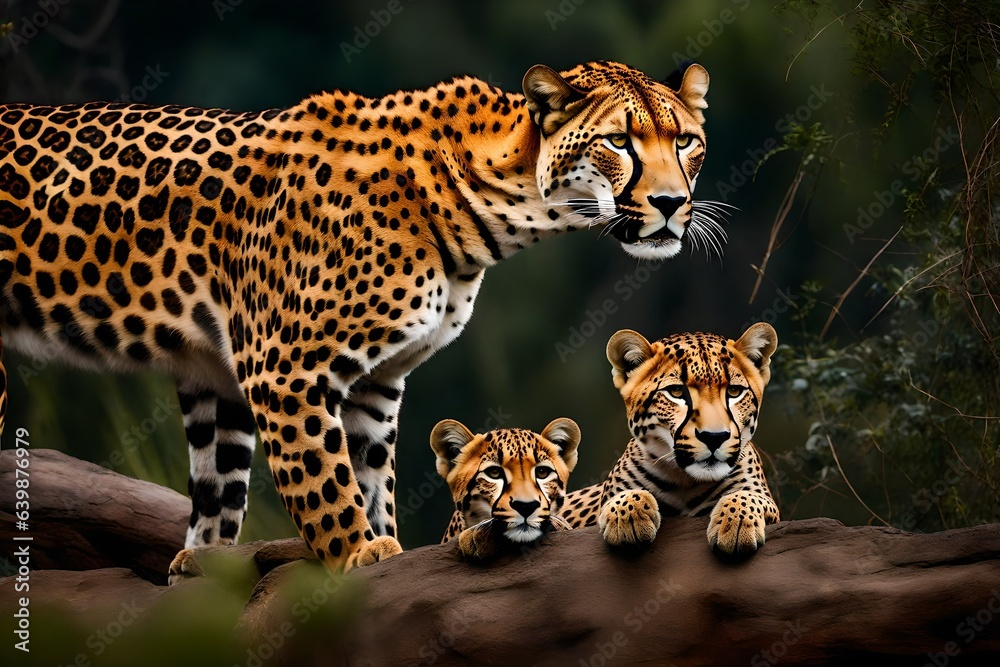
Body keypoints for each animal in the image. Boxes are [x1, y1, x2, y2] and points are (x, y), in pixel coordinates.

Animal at [560, 323, 780, 557]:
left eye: (734, 391)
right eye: (676, 391)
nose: (714, 437)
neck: (685, 481)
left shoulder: (765, 499)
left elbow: (749, 497)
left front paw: (736, 525)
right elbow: (622, 496)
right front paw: (627, 519)